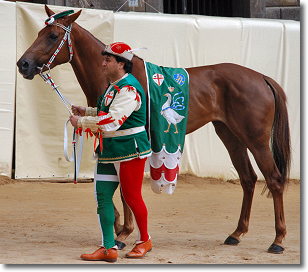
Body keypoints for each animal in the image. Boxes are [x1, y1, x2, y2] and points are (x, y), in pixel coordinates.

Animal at [16, 5, 292, 254]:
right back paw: (236, 233)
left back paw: (278, 240)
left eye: (52, 36)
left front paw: (124, 233)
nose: (23, 64)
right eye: (39, 32)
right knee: (248, 179)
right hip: (231, 137)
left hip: (255, 140)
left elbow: (126, 190)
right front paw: (118, 226)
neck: (116, 77)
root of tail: (262, 78)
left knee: (274, 179)